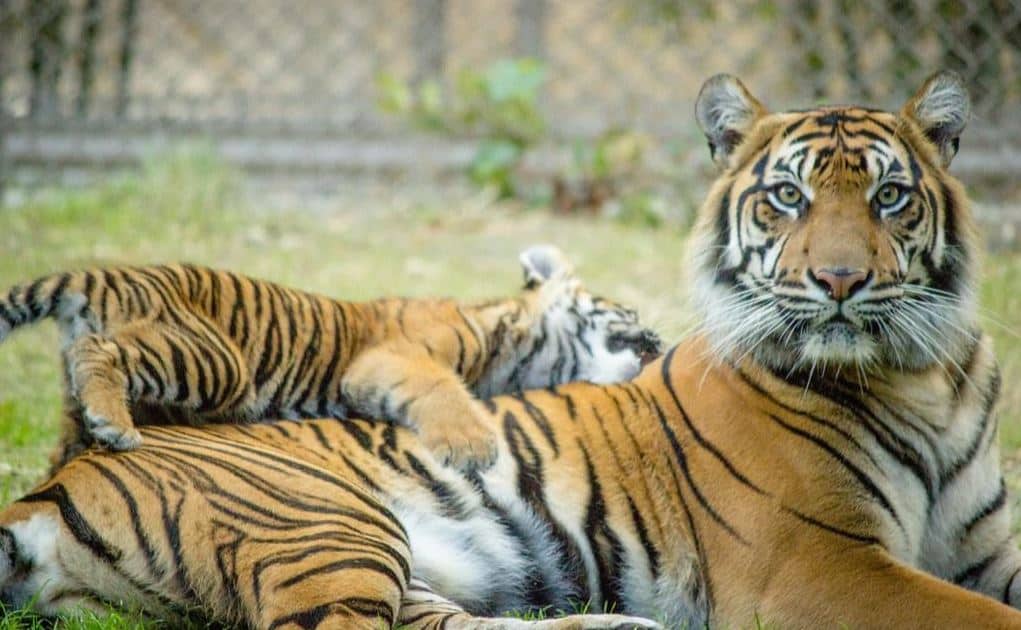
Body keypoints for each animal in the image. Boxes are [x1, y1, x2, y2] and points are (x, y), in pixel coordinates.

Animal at [0, 243, 661, 469]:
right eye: (627, 311)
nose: (659, 341)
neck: (522, 351)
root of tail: (101, 274)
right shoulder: (392, 359)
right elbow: (443, 387)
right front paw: (471, 445)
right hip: (214, 358)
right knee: (99, 348)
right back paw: (115, 424)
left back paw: (95, 433)